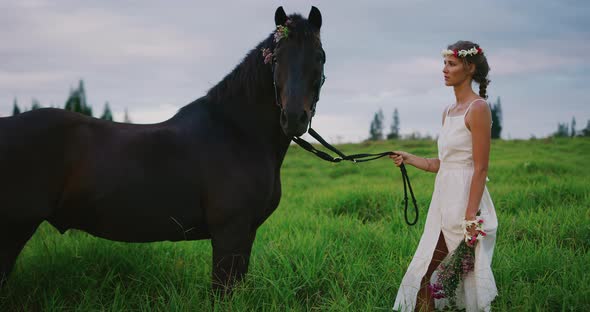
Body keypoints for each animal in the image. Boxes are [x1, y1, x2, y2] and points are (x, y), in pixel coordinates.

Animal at [0, 6, 326, 294]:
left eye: (320, 56)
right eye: (277, 58)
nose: (294, 118)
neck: (237, 133)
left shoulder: (245, 234)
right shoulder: (229, 232)